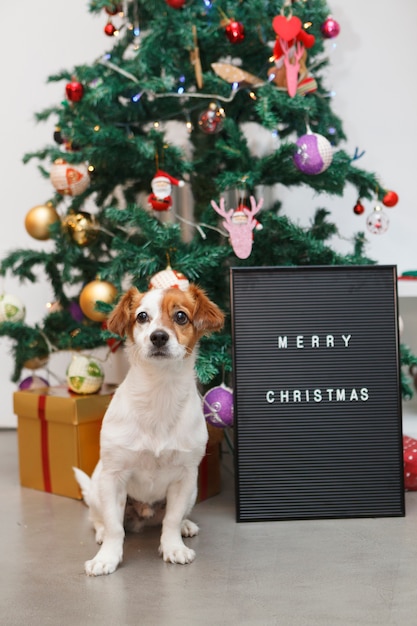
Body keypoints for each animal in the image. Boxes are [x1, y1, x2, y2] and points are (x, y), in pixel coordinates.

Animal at [73, 282, 226, 576]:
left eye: (181, 316)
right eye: (142, 316)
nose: (158, 337)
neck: (159, 392)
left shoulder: (184, 478)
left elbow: (171, 520)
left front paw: (173, 547)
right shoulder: (114, 478)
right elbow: (114, 527)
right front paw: (107, 557)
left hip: (193, 491)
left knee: (175, 516)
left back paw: (186, 526)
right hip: (98, 487)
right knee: (98, 518)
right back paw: (100, 532)